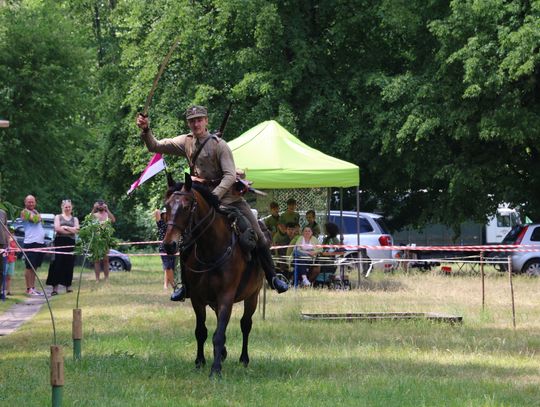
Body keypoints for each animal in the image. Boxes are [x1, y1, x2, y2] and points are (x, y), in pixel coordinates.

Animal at [163, 174, 264, 378]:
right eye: (167, 206)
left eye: (186, 207)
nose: (169, 245)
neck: (210, 249)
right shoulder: (197, 298)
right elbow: (201, 331)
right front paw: (200, 362)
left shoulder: (226, 296)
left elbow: (219, 333)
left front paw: (216, 370)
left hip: (253, 296)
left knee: (245, 324)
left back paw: (244, 359)